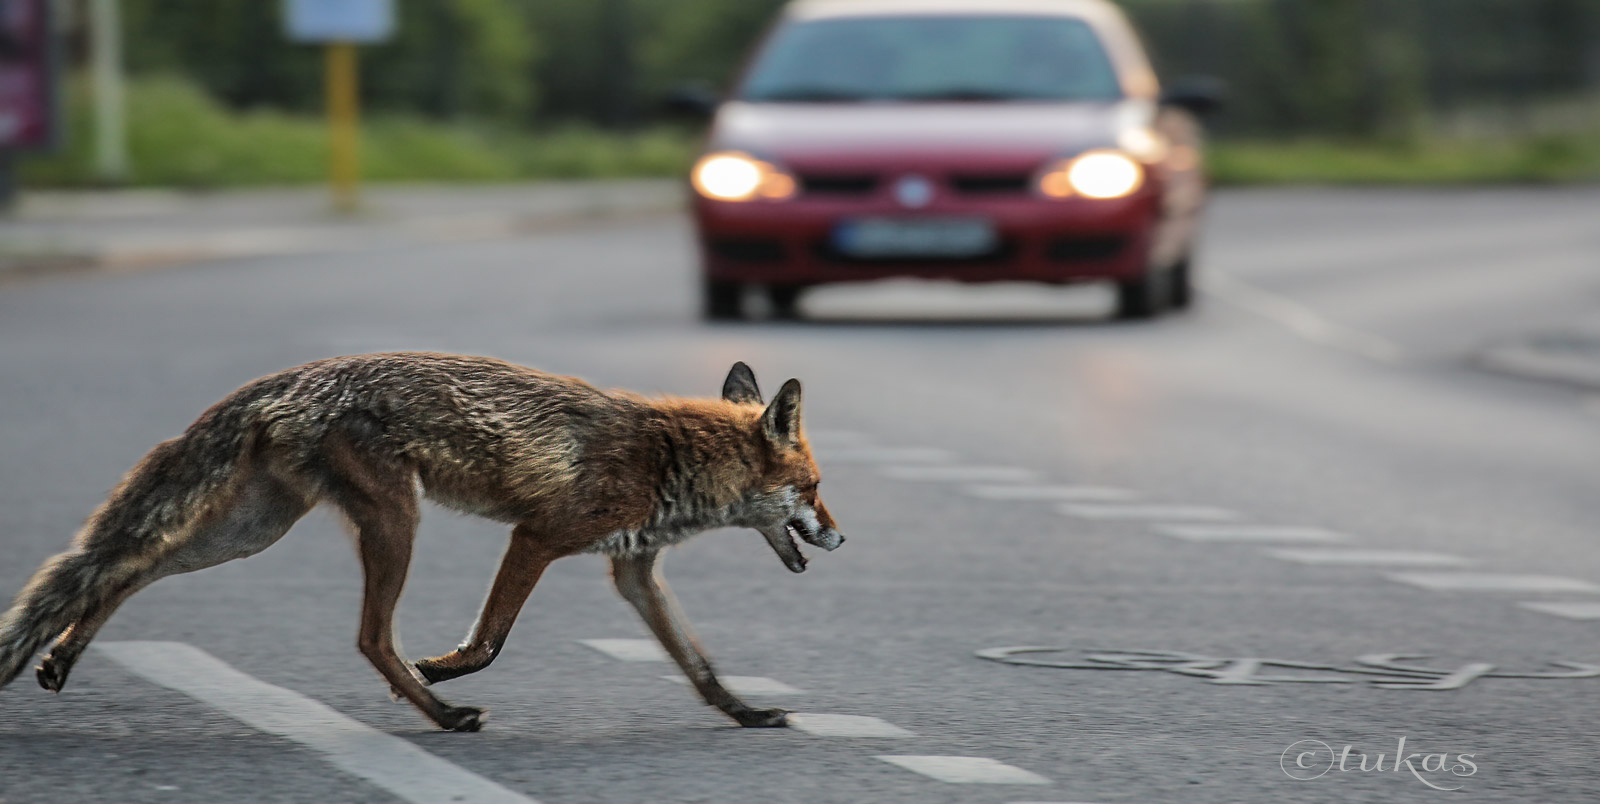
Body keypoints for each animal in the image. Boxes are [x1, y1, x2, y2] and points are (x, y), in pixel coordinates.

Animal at [0, 352, 844, 727]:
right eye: (813, 488)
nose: (841, 536)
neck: (670, 458)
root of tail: (292, 376)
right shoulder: (539, 536)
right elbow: (490, 641)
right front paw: (442, 670)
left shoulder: (633, 572)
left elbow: (699, 663)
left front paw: (743, 713)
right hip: (394, 523)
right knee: (371, 638)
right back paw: (437, 710)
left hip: (251, 533)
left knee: (123, 570)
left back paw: (62, 659)